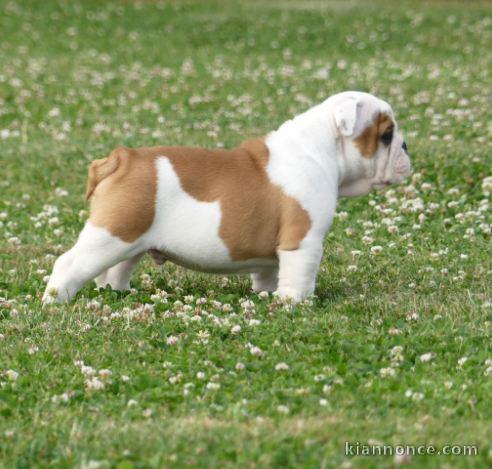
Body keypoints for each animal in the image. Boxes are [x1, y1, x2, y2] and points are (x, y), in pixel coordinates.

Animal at [43, 91, 412, 304]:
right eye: (387, 135)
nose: (406, 146)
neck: (321, 148)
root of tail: (121, 158)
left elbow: (268, 273)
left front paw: (267, 295)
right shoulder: (303, 240)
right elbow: (300, 274)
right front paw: (296, 303)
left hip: (129, 238)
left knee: (116, 270)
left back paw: (117, 293)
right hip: (110, 234)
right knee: (69, 264)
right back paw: (55, 302)